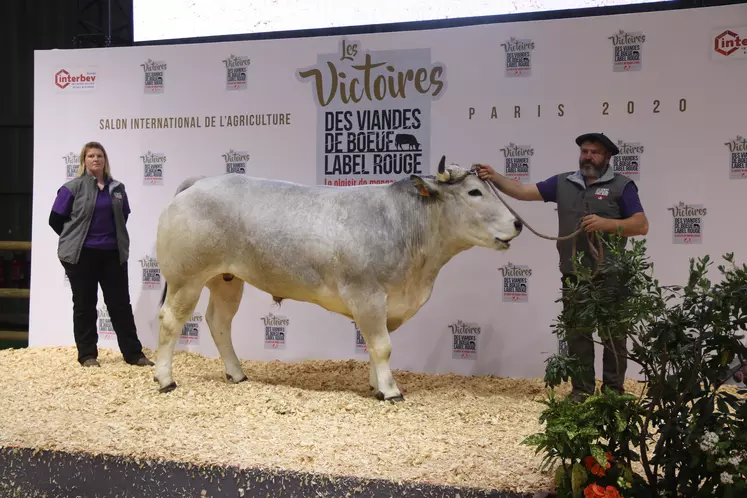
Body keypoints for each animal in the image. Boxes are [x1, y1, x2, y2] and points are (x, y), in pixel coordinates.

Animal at [154, 156, 524, 400]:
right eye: (474, 192)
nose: (518, 223)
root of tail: (201, 180)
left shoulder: (386, 304)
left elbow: (377, 347)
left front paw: (376, 385)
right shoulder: (367, 294)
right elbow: (382, 345)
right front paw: (391, 391)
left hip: (226, 278)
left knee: (219, 321)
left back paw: (237, 373)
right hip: (186, 278)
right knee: (171, 321)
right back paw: (165, 379)